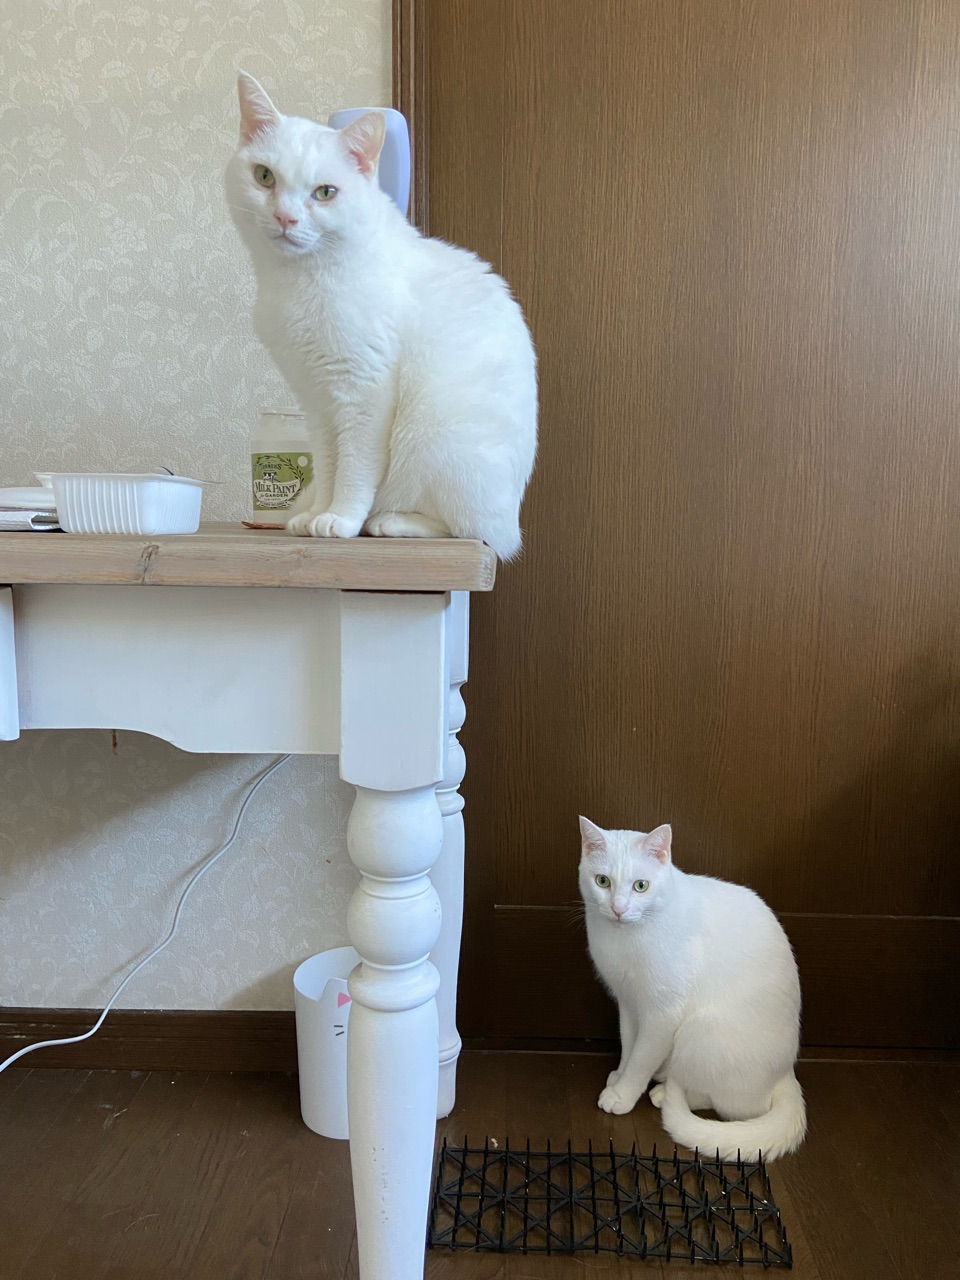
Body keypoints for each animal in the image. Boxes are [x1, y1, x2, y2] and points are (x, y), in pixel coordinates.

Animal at [225, 72, 538, 559]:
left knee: (470, 531)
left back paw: (388, 521)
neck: (299, 281)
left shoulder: (362, 393)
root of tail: (513, 521)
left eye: (325, 192)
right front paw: (318, 513)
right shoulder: (317, 401)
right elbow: (328, 465)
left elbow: (354, 468)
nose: (285, 217)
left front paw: (341, 518)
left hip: (432, 435)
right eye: (264, 176)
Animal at [578, 817, 806, 1162]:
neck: (624, 939)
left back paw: (665, 1093)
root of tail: (785, 1074)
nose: (618, 908)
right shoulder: (629, 1004)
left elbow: (642, 1058)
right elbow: (629, 1046)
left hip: (699, 1031)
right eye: (602, 881)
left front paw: (623, 1094)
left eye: (641, 886)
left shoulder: (662, 1014)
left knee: (731, 1105)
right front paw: (619, 1076)